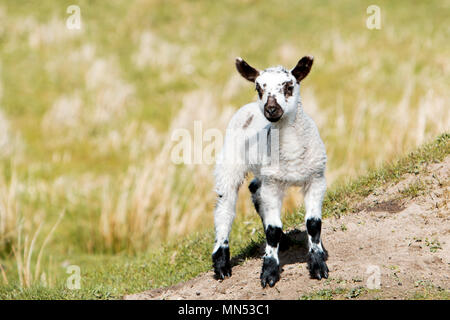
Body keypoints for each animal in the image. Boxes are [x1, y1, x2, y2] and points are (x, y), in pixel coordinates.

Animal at [213, 55, 328, 288]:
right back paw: (221, 264)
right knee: (225, 208)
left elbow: (313, 224)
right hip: (230, 163)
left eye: (289, 85)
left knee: (255, 189)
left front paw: (318, 265)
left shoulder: (316, 178)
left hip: (264, 174)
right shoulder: (274, 184)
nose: (271, 110)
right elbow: (273, 229)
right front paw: (269, 272)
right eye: (258, 88)